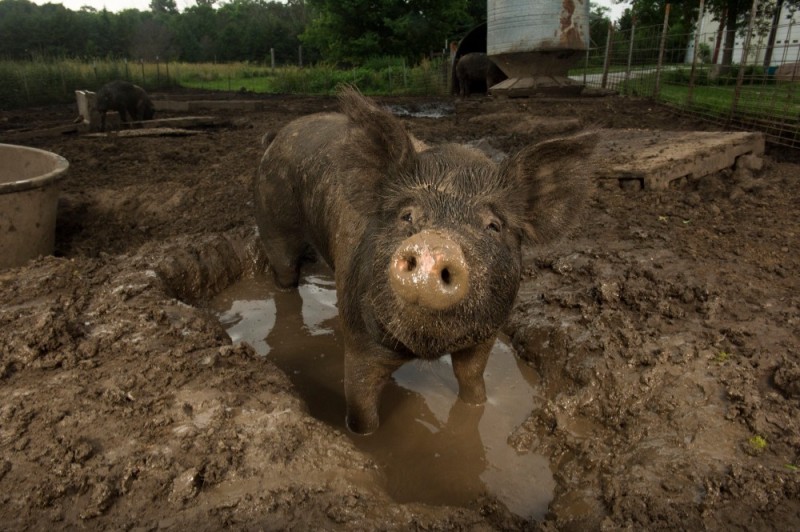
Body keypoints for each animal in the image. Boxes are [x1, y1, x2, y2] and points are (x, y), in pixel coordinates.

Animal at [253, 87, 596, 434]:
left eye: (494, 225)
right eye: (407, 215)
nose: (435, 244)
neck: (425, 349)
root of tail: (279, 135)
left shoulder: (487, 334)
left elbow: (472, 380)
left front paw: (477, 408)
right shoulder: (361, 340)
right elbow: (361, 407)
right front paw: (364, 437)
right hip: (272, 220)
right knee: (285, 277)